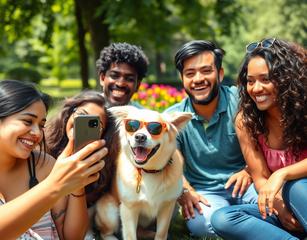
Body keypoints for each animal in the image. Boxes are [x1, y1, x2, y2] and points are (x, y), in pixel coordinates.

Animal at [95, 106, 192, 240]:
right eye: (132, 126)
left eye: (155, 128)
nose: (140, 137)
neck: (149, 171)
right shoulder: (128, 209)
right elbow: (130, 236)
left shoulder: (167, 207)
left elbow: (161, 234)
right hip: (109, 212)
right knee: (106, 233)